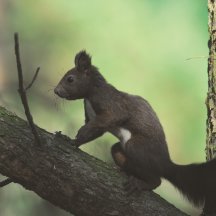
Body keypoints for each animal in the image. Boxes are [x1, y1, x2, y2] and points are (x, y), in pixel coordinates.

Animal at [53, 50, 216, 214]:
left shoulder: (111, 104)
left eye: (70, 79)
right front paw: (72, 141)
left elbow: (111, 117)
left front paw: (79, 133)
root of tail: (165, 163)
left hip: (136, 146)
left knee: (156, 180)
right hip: (121, 152)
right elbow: (94, 132)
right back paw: (126, 172)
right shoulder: (93, 117)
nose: (56, 91)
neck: (91, 92)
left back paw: (140, 183)